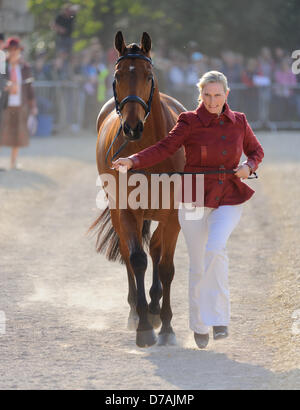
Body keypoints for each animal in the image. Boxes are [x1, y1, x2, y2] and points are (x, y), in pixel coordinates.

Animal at [90, 30, 186, 348]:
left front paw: (166, 325)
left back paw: (155, 308)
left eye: (148, 75)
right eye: (117, 75)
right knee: (129, 251)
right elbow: (136, 259)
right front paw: (143, 326)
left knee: (156, 248)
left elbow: (165, 265)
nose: (131, 127)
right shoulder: (128, 210)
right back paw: (136, 309)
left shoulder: (173, 214)